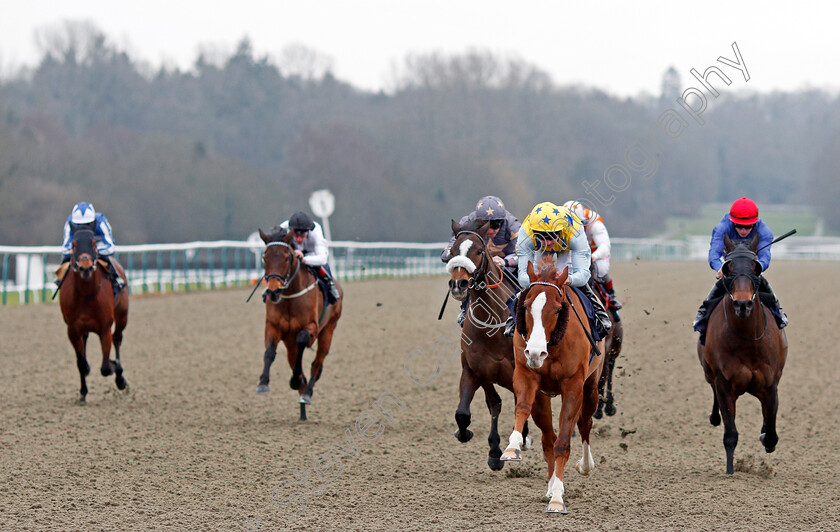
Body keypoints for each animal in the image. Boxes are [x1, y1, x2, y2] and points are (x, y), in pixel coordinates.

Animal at [58, 227, 129, 402]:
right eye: (74, 244)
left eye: (93, 243)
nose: (85, 268)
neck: (86, 295)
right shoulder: (73, 330)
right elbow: (81, 363)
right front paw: (83, 391)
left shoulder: (104, 329)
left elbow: (105, 367)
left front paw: (115, 367)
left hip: (122, 316)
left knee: (117, 338)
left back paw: (120, 377)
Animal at [254, 227, 342, 422]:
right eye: (264, 257)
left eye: (287, 257)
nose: (273, 291)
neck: (289, 297)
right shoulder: (273, 326)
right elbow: (269, 352)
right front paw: (263, 383)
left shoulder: (312, 327)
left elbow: (302, 341)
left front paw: (295, 381)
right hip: (289, 344)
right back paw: (302, 409)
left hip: (329, 330)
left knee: (317, 364)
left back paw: (306, 394)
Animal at [446, 219, 540, 470]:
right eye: (452, 251)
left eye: (479, 251)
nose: (458, 284)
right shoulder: (475, 369)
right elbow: (473, 410)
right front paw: (490, 449)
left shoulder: (518, 371)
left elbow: (520, 403)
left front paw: (517, 441)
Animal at [498, 260, 604, 512]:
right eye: (526, 306)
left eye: (557, 310)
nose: (536, 353)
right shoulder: (526, 374)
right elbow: (522, 408)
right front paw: (512, 448)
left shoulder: (573, 386)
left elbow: (564, 442)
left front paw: (557, 498)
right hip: (543, 398)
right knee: (548, 438)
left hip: (590, 389)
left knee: (585, 424)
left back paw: (584, 466)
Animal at [696, 233, 788, 474]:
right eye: (727, 268)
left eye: (755, 267)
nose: (743, 304)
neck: (747, 341)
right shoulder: (724, 384)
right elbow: (730, 434)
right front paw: (730, 471)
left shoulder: (770, 384)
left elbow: (771, 432)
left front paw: (766, 437)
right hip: (709, 372)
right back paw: (714, 417)